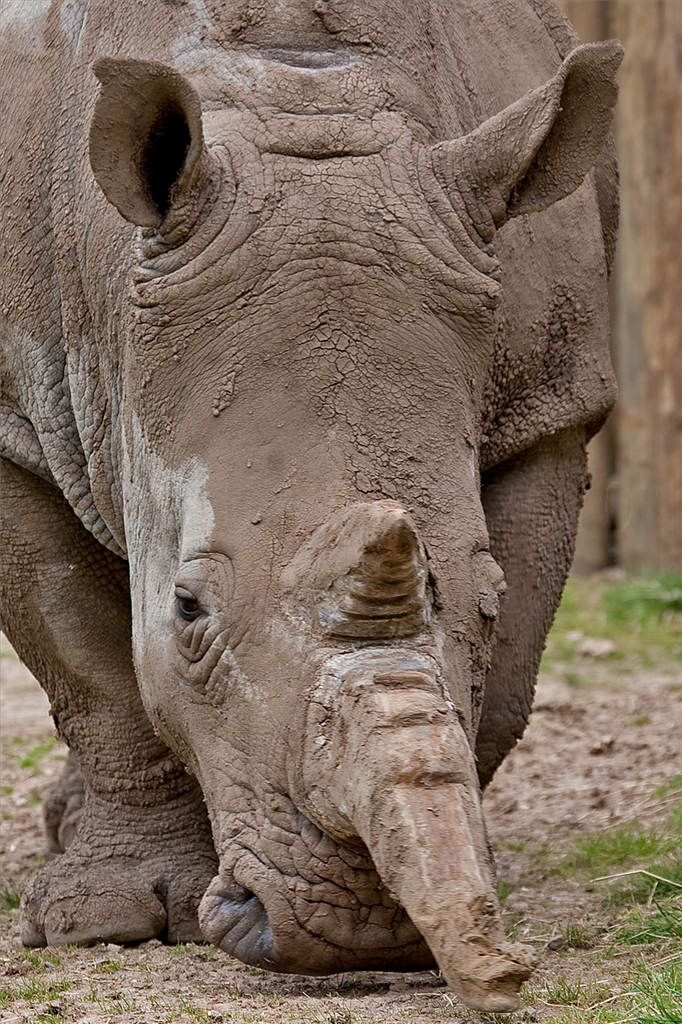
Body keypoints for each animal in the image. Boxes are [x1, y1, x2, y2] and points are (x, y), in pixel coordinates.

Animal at [0, 0, 621, 1010]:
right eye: (187, 608)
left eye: (485, 598)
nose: (352, 931)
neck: (302, 98)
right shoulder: (10, 411)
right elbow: (88, 665)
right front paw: (103, 924)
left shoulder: (554, 403)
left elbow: (509, 677)